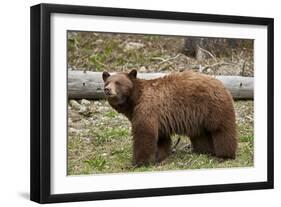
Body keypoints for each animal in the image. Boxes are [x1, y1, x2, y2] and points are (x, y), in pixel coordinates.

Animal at [101, 70, 235, 166]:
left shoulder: (147, 109)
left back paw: (224, 155)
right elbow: (161, 138)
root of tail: (222, 84)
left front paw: (137, 162)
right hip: (199, 118)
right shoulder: (159, 118)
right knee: (201, 135)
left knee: (221, 131)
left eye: (118, 82)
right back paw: (204, 151)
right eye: (107, 82)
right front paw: (159, 157)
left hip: (212, 107)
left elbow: (144, 134)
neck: (134, 100)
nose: (107, 89)